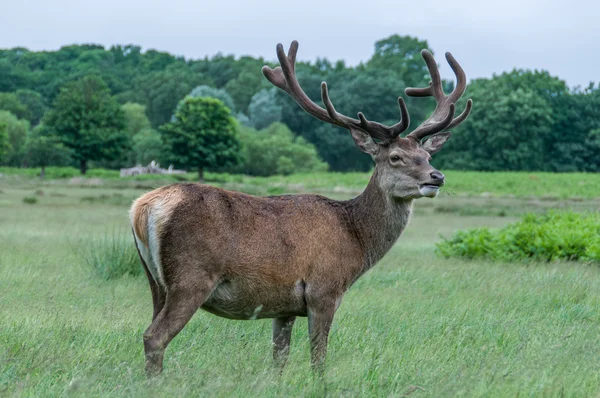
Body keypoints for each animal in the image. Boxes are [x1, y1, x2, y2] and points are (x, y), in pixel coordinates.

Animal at [130, 40, 474, 376]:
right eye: (395, 157)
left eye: (427, 156)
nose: (437, 177)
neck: (356, 237)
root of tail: (142, 208)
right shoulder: (323, 289)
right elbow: (318, 360)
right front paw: (320, 384)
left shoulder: (283, 306)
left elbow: (279, 360)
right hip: (191, 275)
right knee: (154, 336)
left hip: (155, 280)